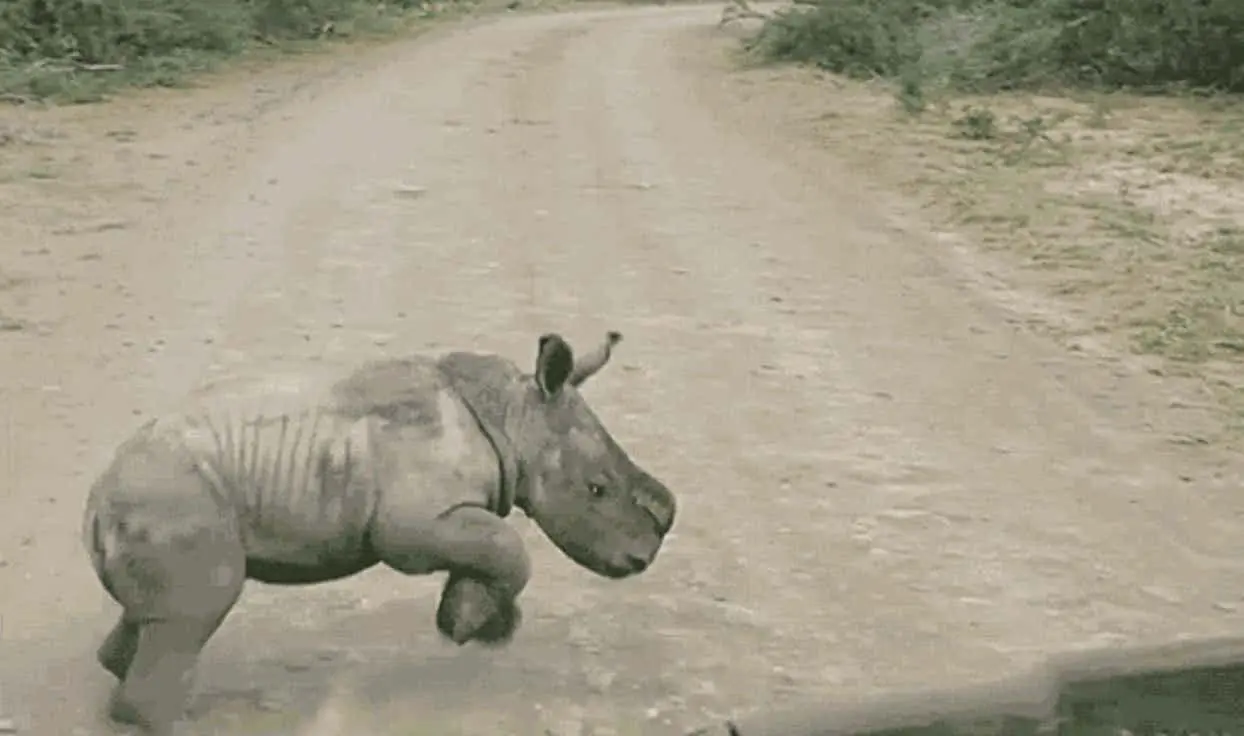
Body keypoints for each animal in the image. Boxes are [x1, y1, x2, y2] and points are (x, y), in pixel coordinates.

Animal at [81, 330, 677, 735]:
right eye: (596, 490)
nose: (642, 557)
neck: (515, 416)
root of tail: (95, 503)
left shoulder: (442, 517)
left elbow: (494, 547)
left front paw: (481, 620)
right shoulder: (414, 525)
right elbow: (509, 547)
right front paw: (464, 625)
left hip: (159, 506)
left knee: (165, 615)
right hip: (173, 501)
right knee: (195, 612)